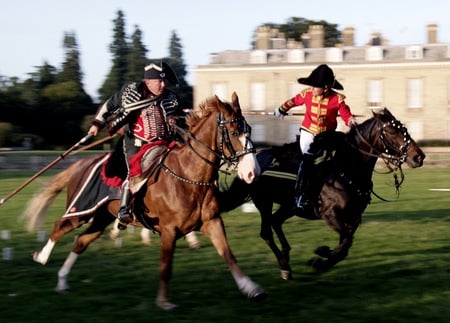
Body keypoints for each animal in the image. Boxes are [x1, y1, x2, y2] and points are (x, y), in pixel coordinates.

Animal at [22, 92, 266, 310]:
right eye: (233, 132)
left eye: (249, 130)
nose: (252, 172)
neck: (189, 176)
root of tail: (81, 163)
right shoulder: (169, 230)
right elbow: (165, 267)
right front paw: (164, 302)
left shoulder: (212, 222)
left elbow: (228, 255)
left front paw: (251, 288)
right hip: (82, 209)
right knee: (60, 226)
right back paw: (41, 257)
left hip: (101, 217)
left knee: (81, 241)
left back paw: (62, 280)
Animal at [218, 108, 426, 280]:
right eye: (392, 131)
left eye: (404, 129)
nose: (419, 157)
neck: (347, 168)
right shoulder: (330, 214)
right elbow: (346, 242)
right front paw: (322, 253)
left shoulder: (353, 218)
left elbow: (345, 245)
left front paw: (320, 261)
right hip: (264, 202)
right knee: (266, 232)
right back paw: (284, 266)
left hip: (289, 206)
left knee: (276, 222)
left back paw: (286, 255)